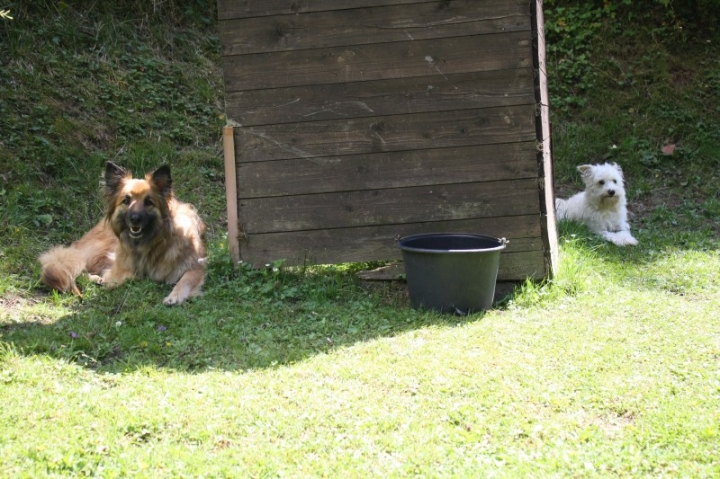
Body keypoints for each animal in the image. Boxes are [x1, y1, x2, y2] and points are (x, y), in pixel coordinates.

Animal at [40, 161, 205, 304]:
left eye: (148, 202)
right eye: (126, 200)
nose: (135, 219)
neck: (152, 242)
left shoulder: (195, 266)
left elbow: (185, 280)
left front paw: (174, 297)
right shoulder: (122, 266)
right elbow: (121, 275)